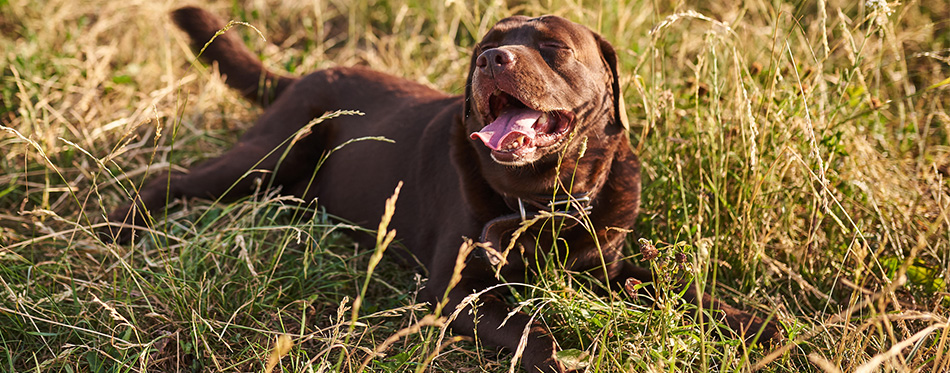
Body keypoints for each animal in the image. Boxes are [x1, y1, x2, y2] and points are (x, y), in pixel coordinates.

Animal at [104, 6, 780, 372]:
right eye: (486, 45)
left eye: (554, 47)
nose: (492, 61)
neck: (542, 200)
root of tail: (301, 74)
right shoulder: (453, 290)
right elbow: (525, 329)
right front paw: (562, 353)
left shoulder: (606, 267)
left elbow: (678, 288)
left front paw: (762, 324)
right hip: (268, 156)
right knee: (173, 180)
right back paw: (120, 227)